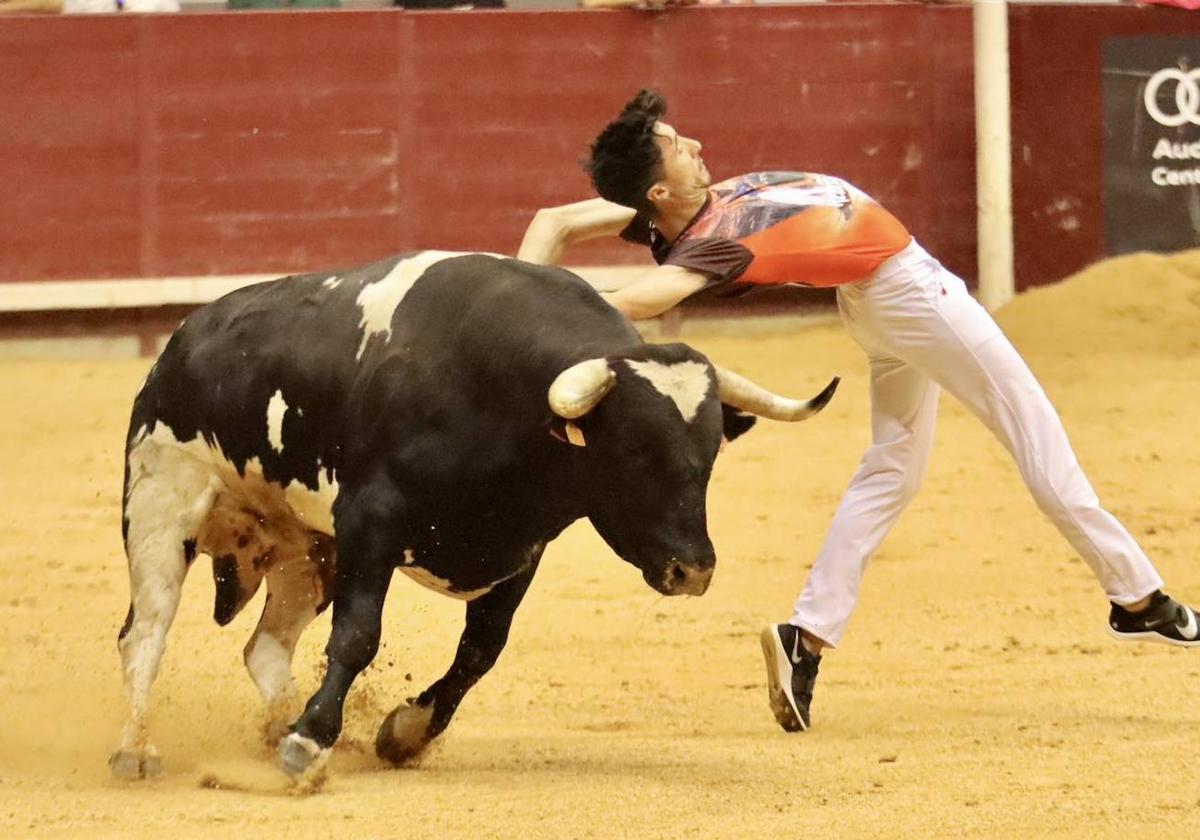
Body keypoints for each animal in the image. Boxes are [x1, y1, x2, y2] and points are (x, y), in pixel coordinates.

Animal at [110, 250, 835, 782]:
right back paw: (137, 751)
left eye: (711, 453)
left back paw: (276, 727)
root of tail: (183, 340)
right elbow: (358, 637)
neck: (500, 394)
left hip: (307, 550)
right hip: (159, 506)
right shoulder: (372, 523)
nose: (694, 570)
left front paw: (401, 732)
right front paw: (311, 742)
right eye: (633, 450)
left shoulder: (519, 552)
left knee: (264, 648)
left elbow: (480, 652)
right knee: (144, 633)